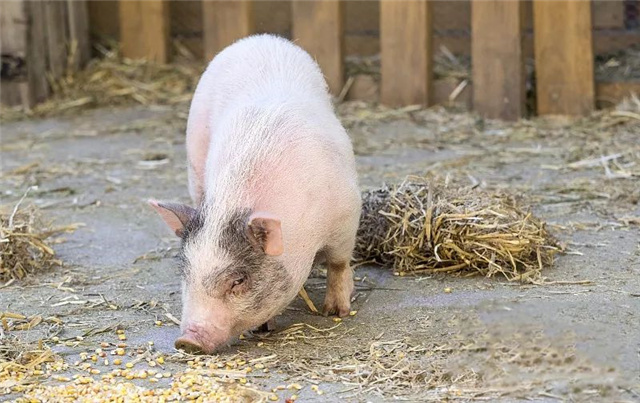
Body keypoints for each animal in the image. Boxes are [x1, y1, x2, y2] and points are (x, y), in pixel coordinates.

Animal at [147, 35, 362, 356]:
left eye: (238, 280)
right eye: (185, 272)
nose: (187, 340)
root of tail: (257, 39)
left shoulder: (347, 215)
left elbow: (338, 264)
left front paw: (336, 312)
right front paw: (263, 327)